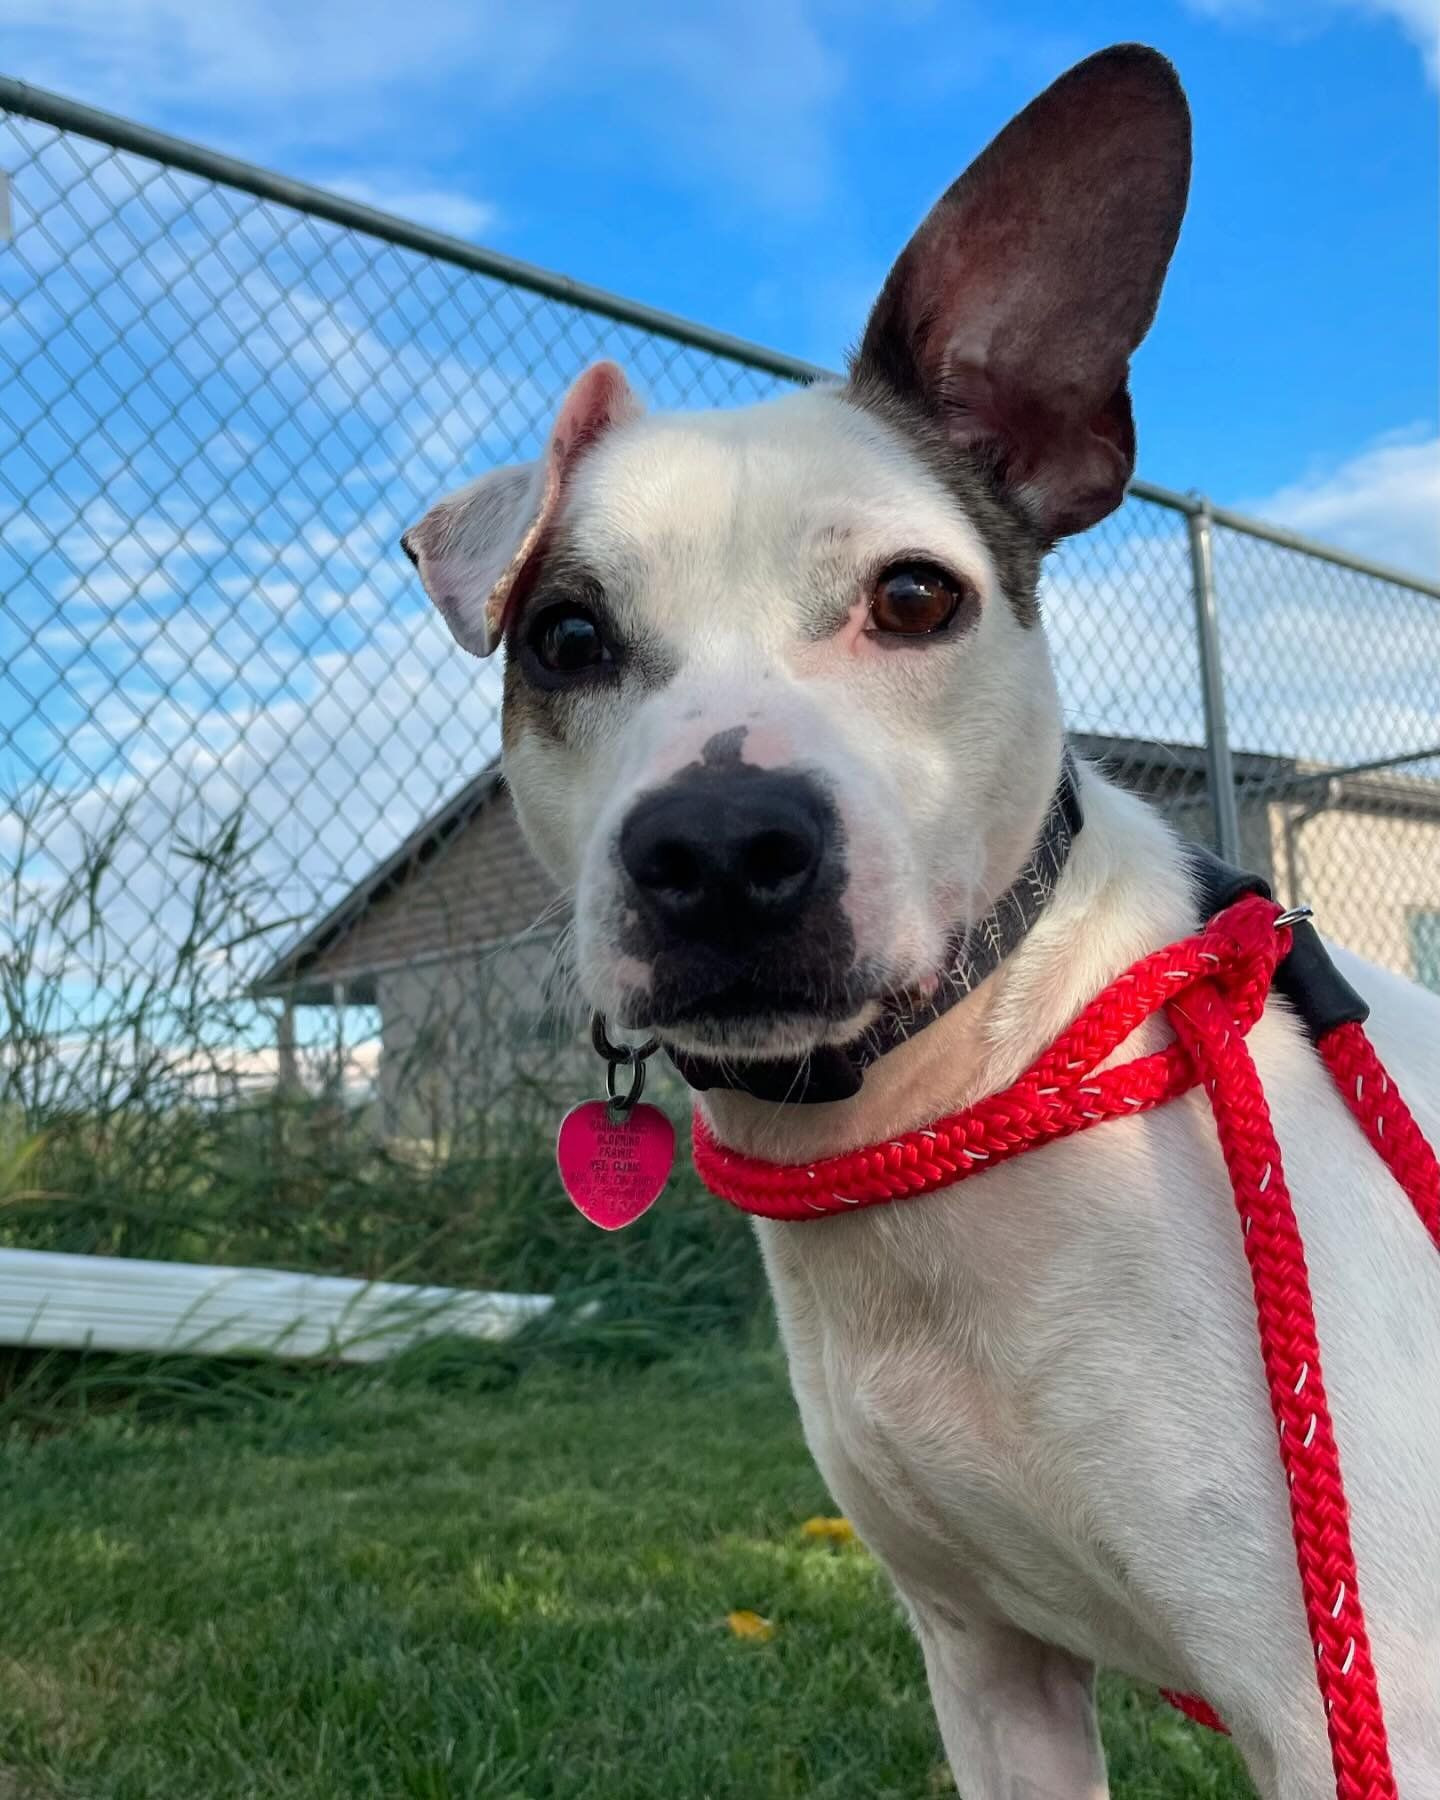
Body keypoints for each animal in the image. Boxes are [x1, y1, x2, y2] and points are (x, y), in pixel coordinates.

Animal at [401, 42, 1440, 1800]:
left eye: (913, 598)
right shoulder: (989, 1666)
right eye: (563, 637)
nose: (722, 849)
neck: (969, 1092)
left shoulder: (1355, 1703)